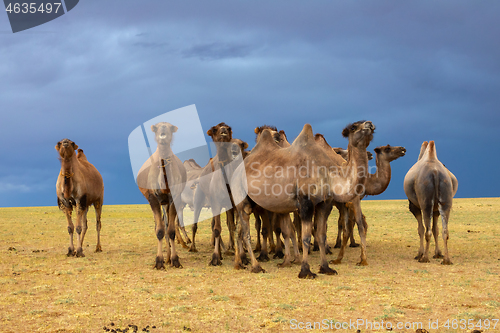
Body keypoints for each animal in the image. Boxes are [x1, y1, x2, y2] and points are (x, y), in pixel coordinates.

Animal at [137, 120, 188, 268]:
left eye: (171, 127)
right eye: (156, 128)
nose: (163, 132)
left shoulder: (174, 197)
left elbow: (170, 231)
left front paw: (175, 260)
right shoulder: (153, 198)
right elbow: (159, 231)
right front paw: (159, 261)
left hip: (166, 203)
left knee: (167, 225)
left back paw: (169, 257)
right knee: (159, 226)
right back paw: (166, 258)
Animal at [230, 120, 376, 276]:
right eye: (353, 127)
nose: (369, 124)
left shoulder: (324, 203)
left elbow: (321, 235)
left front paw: (326, 268)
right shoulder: (306, 202)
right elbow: (306, 237)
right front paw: (305, 271)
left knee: (239, 230)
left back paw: (239, 263)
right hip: (241, 198)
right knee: (245, 232)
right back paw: (256, 266)